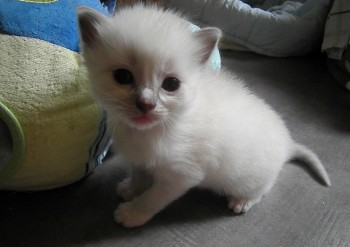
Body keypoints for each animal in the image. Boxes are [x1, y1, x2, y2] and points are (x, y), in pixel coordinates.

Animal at [77, 3, 330, 228]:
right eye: (122, 77)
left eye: (171, 84)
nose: (146, 104)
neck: (151, 131)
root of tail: (288, 144)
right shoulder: (138, 157)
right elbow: (138, 172)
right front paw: (131, 188)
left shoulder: (181, 176)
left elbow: (152, 198)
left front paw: (132, 213)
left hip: (252, 178)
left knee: (263, 189)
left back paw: (243, 201)